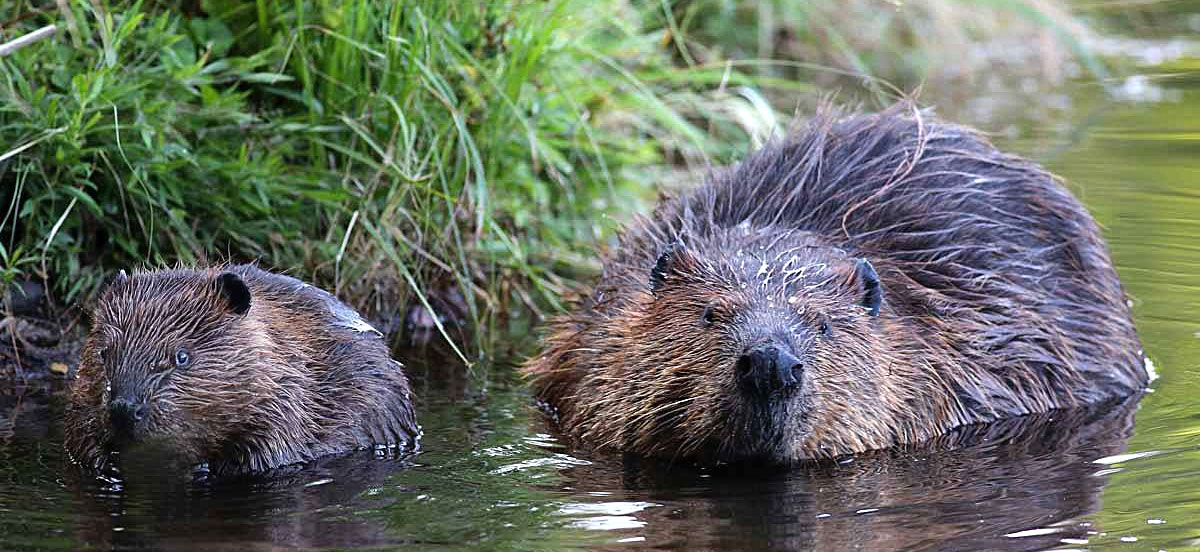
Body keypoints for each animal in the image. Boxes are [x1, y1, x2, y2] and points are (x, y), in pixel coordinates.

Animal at [66, 262, 422, 475]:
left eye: (182, 356)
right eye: (104, 354)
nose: (124, 409)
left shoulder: (288, 396)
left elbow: (266, 455)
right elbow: (80, 440)